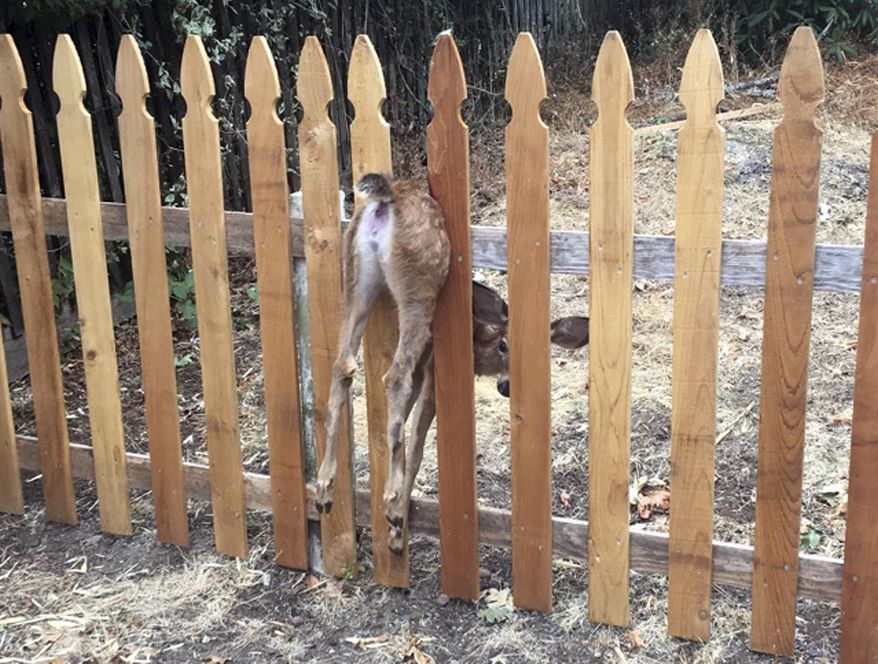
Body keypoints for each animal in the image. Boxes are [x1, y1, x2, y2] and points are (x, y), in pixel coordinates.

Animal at [313, 173, 590, 554]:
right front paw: (397, 520)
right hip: (419, 286)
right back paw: (388, 498)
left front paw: (394, 526)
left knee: (342, 365)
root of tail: (387, 196)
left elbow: (400, 429)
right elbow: (416, 439)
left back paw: (324, 486)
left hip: (357, 275)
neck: (476, 340)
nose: (506, 387)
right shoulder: (432, 369)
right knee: (394, 376)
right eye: (504, 344)